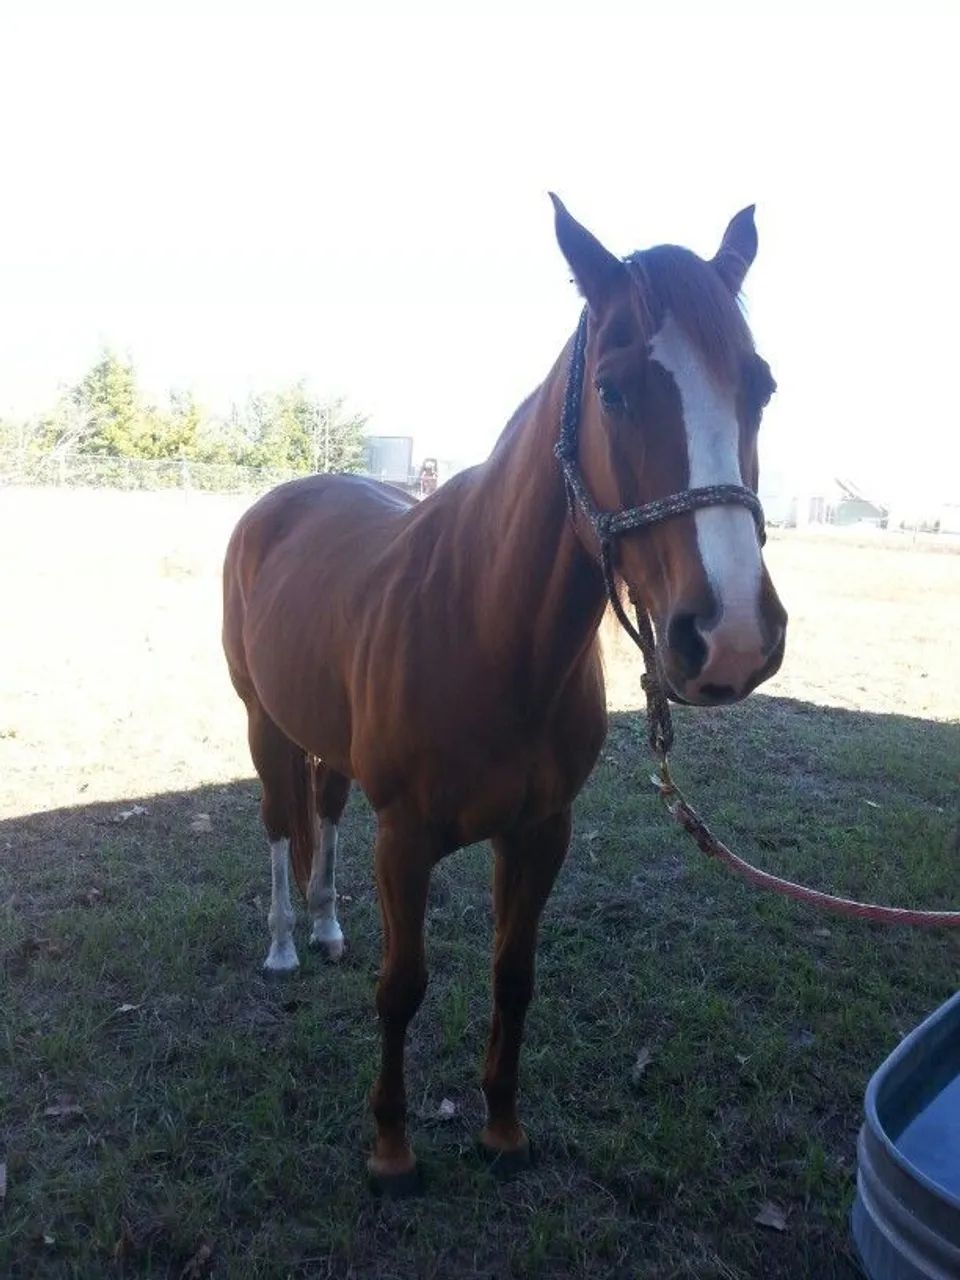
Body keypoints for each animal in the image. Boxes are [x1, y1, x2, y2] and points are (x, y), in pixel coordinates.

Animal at [222, 195, 787, 1191]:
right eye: (613, 391)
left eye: (759, 387)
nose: (731, 638)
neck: (489, 631)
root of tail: (275, 506)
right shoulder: (406, 840)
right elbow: (402, 987)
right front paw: (392, 1146)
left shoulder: (539, 831)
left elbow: (512, 977)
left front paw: (501, 1128)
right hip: (264, 724)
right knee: (282, 824)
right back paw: (287, 943)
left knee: (322, 808)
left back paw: (327, 930)